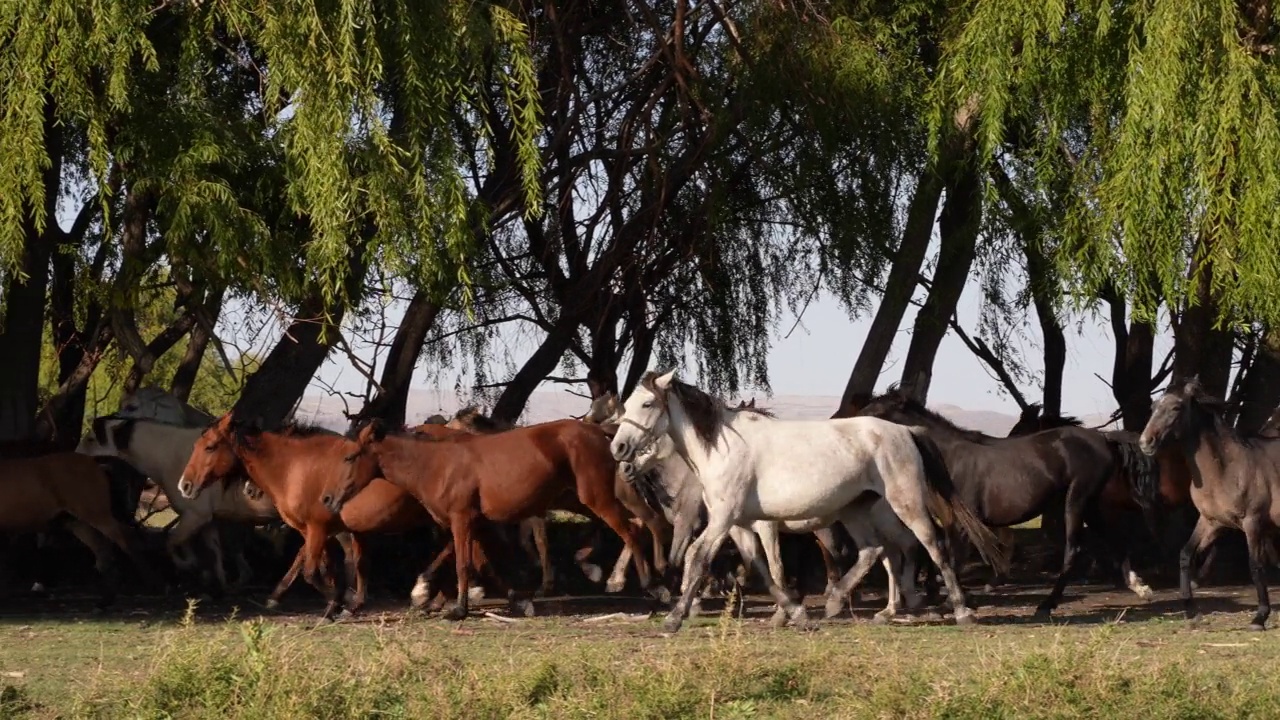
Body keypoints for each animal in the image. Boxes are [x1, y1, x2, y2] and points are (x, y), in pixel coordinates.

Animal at [0, 450, 157, 602]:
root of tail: (98, 465)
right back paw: (105, 601)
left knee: (125, 540)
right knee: (103, 551)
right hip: (78, 523)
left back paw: (153, 585)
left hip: (97, 514)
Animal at [76, 415, 277, 589]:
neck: (169, 454)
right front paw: (218, 584)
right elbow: (212, 552)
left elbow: (171, 541)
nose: (75, 456)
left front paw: (187, 565)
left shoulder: (195, 515)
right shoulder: (206, 519)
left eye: (91, 439)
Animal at [330, 417, 670, 620]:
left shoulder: (462, 519)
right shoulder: (476, 523)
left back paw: (651, 585)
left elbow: (464, 563)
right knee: (642, 522)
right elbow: (490, 562)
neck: (436, 465)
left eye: (349, 457)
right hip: (578, 498)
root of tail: (601, 432)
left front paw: (456, 608)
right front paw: (518, 600)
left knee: (633, 529)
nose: (329, 500)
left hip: (597, 496)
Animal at [604, 368, 1003, 627]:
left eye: (647, 405)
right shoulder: (742, 524)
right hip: (855, 511)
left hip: (906, 504)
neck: (722, 447)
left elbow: (697, 557)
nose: (618, 450)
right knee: (874, 551)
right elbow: (762, 567)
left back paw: (960, 611)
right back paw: (841, 602)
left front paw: (674, 617)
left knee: (931, 545)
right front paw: (793, 613)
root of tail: (906, 432)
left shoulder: (723, 520)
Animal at [1141, 376, 1280, 627]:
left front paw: (1259, 617)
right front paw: (1191, 610)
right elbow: (1186, 555)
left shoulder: (1252, 522)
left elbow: (1256, 566)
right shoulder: (1211, 521)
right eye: (1154, 406)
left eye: (1176, 407)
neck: (1227, 468)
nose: (1145, 442)